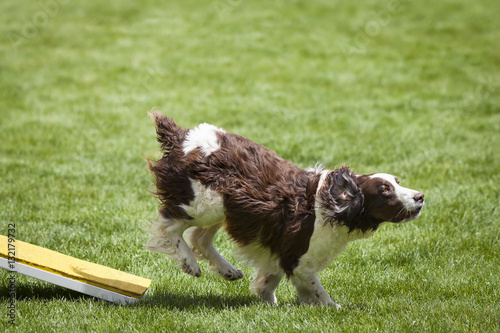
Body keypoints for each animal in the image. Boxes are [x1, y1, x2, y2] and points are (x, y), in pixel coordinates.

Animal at [144, 113, 422, 308]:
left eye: (397, 181)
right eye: (385, 190)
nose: (420, 197)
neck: (329, 206)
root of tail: (182, 138)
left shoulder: (280, 248)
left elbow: (271, 280)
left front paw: (271, 304)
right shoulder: (299, 259)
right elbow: (317, 289)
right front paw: (335, 307)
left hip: (226, 206)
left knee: (200, 238)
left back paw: (228, 270)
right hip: (206, 203)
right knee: (170, 224)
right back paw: (190, 263)